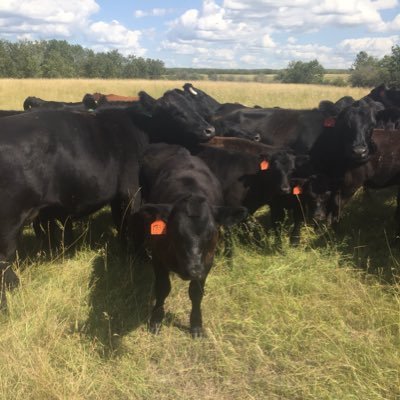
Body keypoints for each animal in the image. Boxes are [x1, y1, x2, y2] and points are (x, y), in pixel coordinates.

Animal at [134, 144, 247, 338]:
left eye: (212, 233)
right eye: (175, 232)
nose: (193, 270)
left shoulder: (207, 261)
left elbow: (196, 292)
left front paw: (196, 325)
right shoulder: (158, 256)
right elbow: (162, 288)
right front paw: (156, 319)